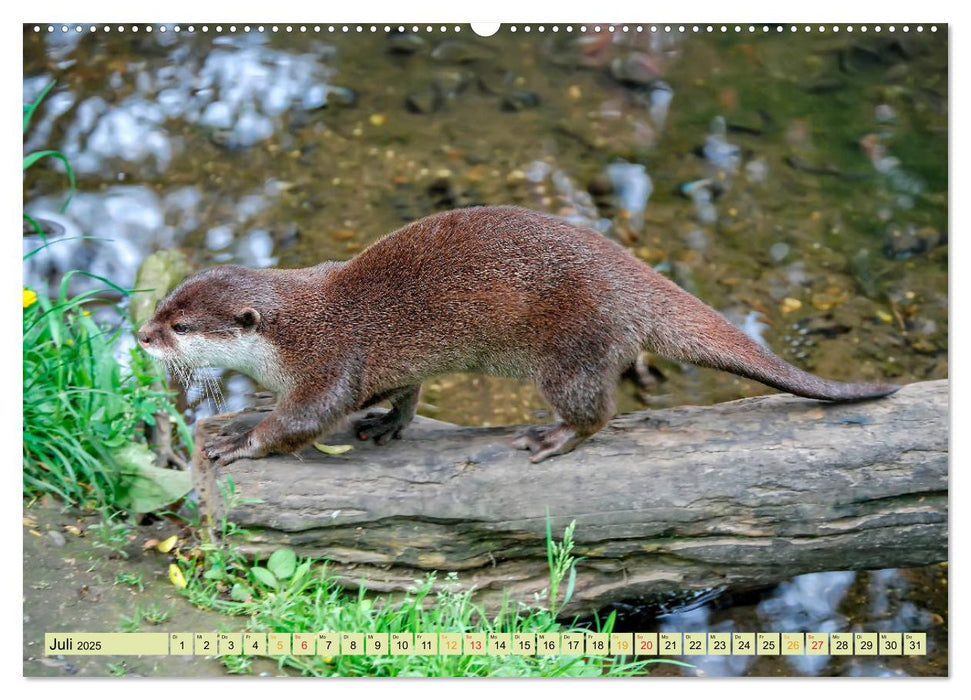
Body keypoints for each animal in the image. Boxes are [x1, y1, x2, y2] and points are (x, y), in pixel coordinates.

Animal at [139, 205, 904, 468]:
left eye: (181, 327)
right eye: (164, 305)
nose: (141, 336)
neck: (297, 330)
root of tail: (629, 276)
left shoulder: (331, 361)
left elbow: (305, 419)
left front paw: (242, 437)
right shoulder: (385, 362)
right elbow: (404, 388)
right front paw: (390, 422)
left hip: (572, 347)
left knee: (597, 409)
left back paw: (552, 438)